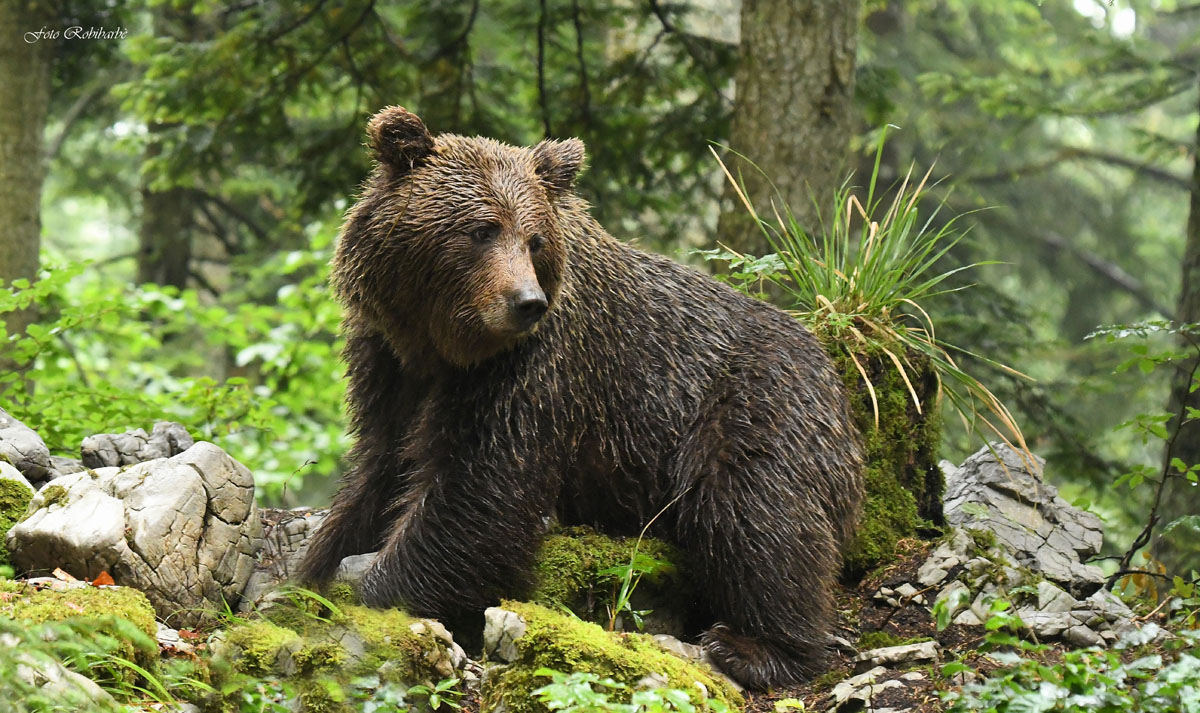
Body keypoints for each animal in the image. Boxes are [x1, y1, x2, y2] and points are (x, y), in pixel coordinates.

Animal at [299, 106, 865, 690]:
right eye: (482, 230)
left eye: (534, 239)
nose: (526, 302)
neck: (442, 344)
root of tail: (831, 370)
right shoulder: (389, 362)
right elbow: (383, 472)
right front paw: (313, 572)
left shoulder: (535, 370)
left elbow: (477, 493)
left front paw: (370, 598)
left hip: (752, 405)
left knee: (756, 512)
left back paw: (754, 647)